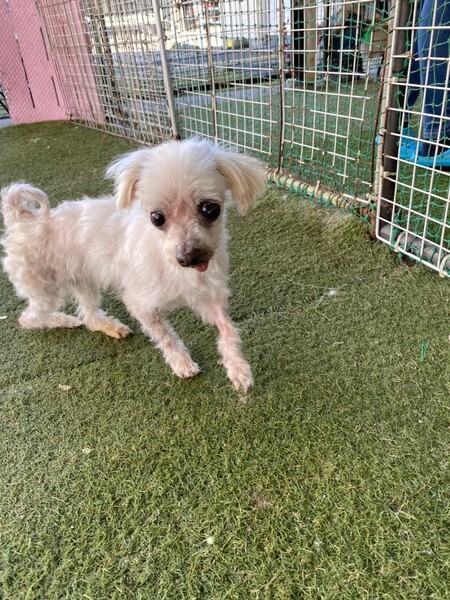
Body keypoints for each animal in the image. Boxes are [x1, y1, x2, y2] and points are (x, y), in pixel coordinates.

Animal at [1, 138, 266, 392]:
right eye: (157, 218)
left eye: (210, 209)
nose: (188, 258)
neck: (171, 264)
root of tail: (20, 219)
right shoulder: (140, 304)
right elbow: (166, 336)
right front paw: (181, 363)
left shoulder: (208, 295)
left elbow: (228, 329)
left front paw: (238, 369)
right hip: (43, 287)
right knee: (29, 318)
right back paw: (63, 320)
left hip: (83, 279)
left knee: (89, 315)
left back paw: (107, 326)